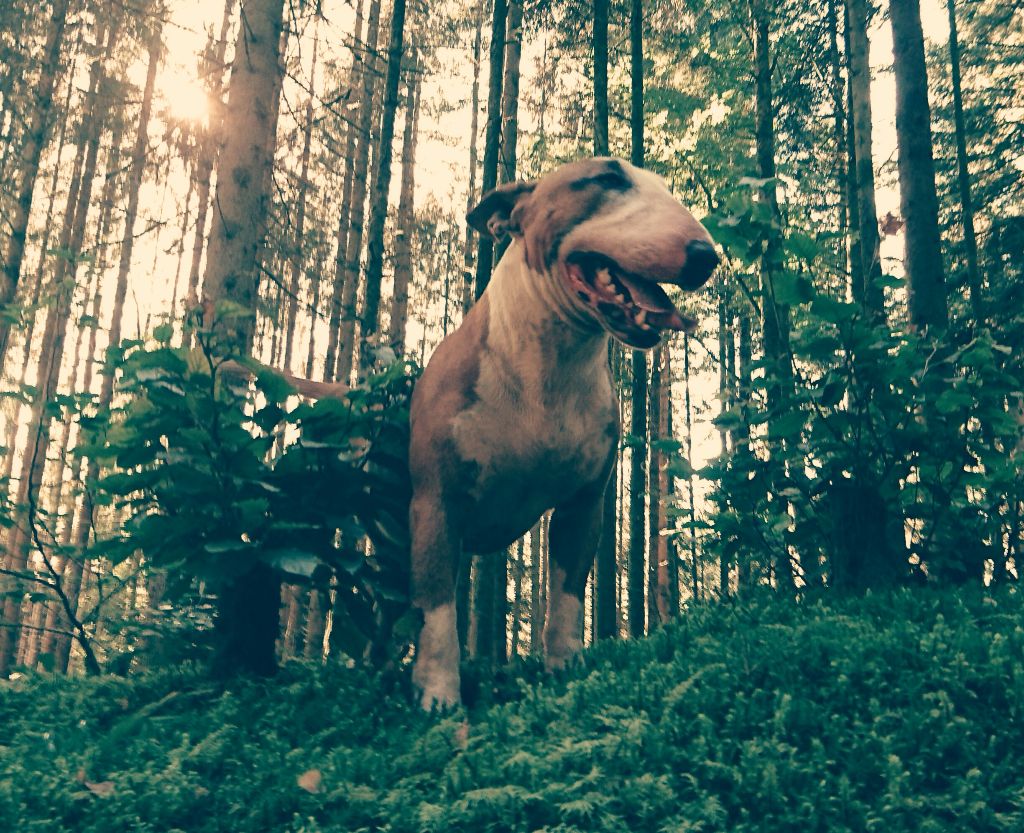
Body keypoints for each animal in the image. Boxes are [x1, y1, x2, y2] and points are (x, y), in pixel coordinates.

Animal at [403, 152, 716, 704]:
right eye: (608, 178)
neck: (547, 369)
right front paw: (439, 695)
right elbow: (438, 612)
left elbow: (567, 599)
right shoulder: (436, 502)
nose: (707, 255)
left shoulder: (583, 505)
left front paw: (566, 672)